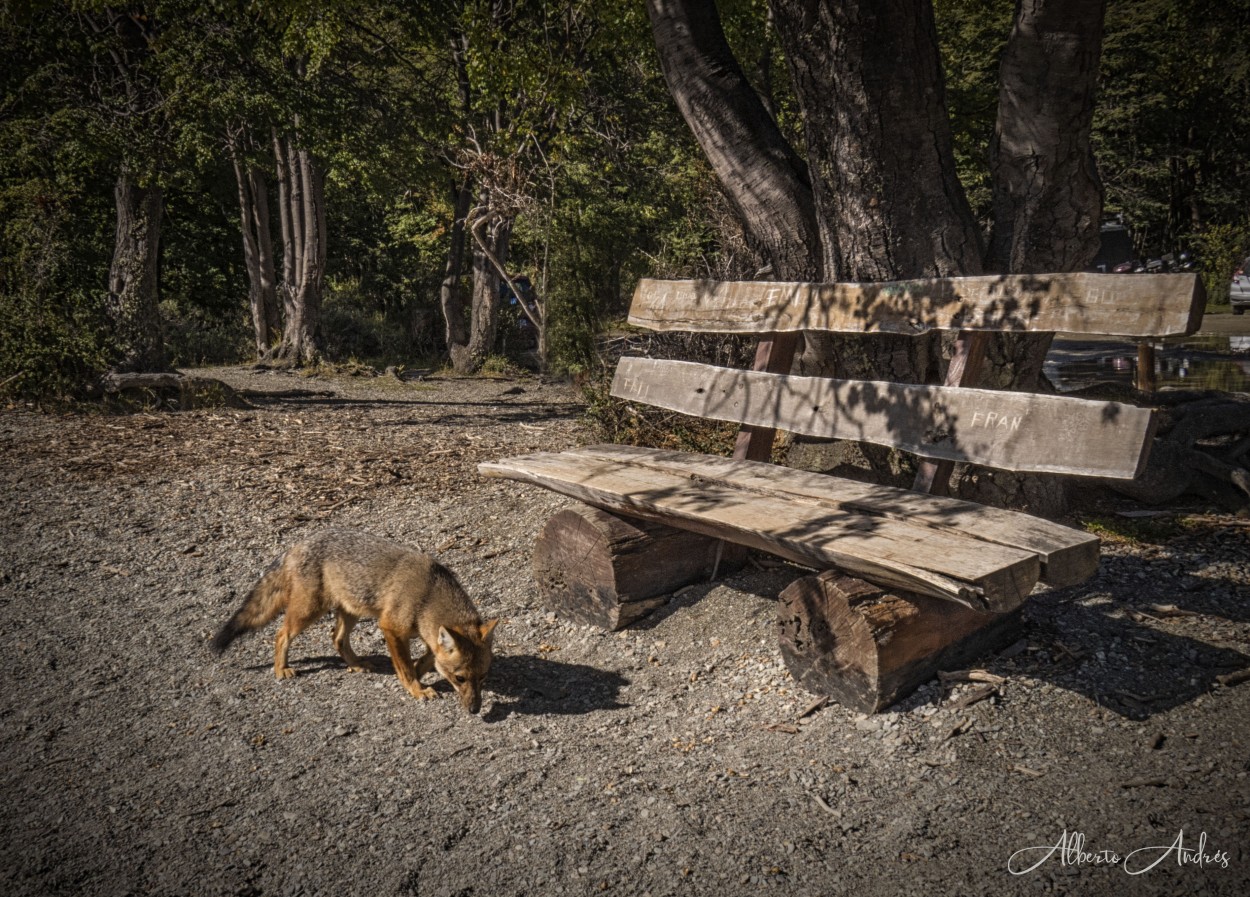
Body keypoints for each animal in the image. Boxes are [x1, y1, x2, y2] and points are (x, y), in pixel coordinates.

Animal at [211, 534, 497, 714]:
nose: (475, 710)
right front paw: (416, 688)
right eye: (460, 678)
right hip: (309, 612)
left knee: (336, 639)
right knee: (282, 634)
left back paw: (356, 664)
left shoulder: (426, 634)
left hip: (350, 612)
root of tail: (297, 545)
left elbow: (427, 659)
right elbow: (404, 666)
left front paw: (418, 671)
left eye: (483, 677)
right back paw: (281, 668)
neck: (429, 594)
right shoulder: (391, 627)